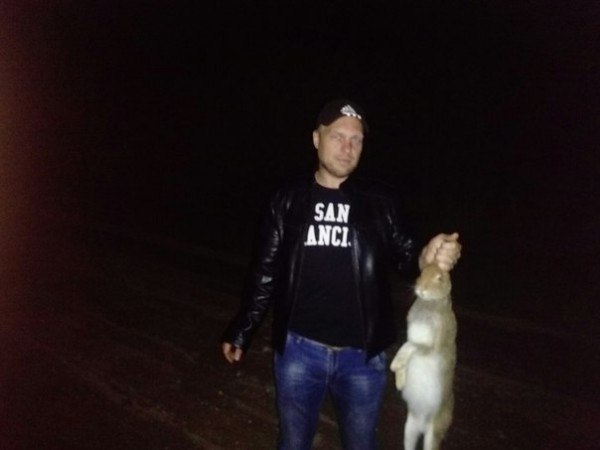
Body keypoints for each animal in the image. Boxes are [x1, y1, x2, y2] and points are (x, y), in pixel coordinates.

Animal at [390, 263, 457, 450]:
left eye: (439, 278)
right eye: (421, 272)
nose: (421, 289)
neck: (430, 302)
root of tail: (422, 423)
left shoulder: (428, 347)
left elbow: (410, 346)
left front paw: (395, 366)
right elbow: (406, 350)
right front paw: (400, 382)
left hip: (433, 433)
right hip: (409, 429)